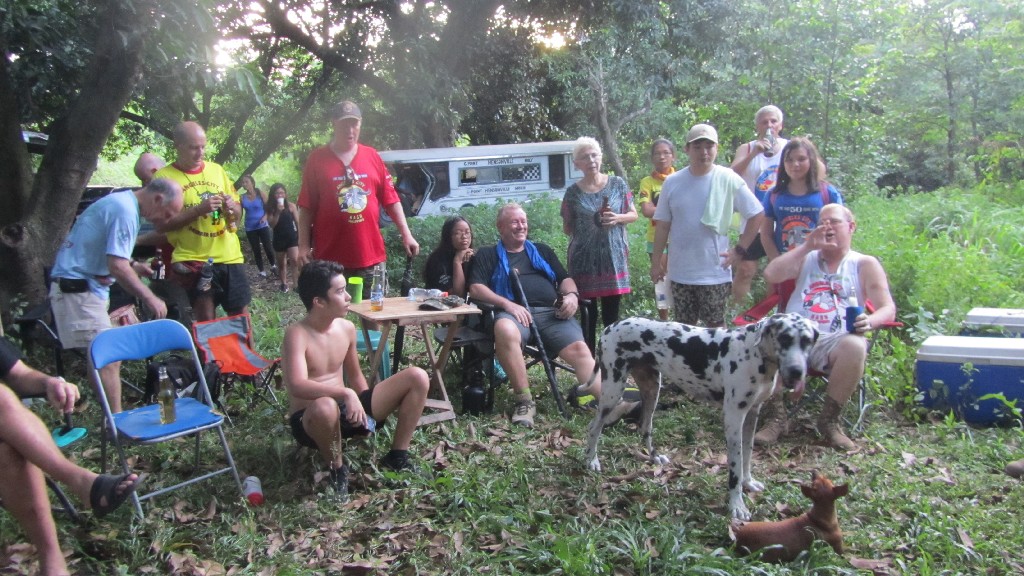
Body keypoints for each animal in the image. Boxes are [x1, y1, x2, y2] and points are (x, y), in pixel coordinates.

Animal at [583, 313, 818, 520]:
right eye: (784, 338)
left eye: (808, 341)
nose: (797, 371)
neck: (754, 353)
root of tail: (612, 325)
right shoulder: (733, 418)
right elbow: (735, 469)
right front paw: (737, 505)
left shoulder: (752, 414)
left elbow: (748, 455)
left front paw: (748, 482)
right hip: (612, 393)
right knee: (594, 427)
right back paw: (591, 460)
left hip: (652, 391)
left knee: (645, 427)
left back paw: (654, 457)